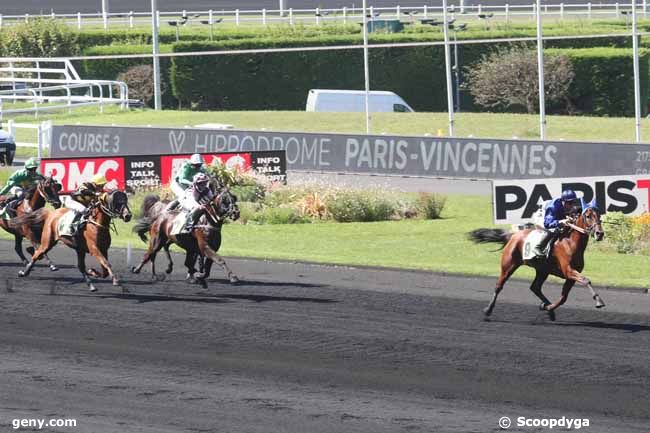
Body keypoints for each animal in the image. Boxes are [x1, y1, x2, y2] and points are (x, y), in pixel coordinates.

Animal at [468, 201, 604, 318]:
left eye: (599, 215)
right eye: (588, 216)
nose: (600, 233)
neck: (570, 242)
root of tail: (514, 235)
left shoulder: (571, 276)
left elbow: (563, 298)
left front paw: (547, 308)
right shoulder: (568, 271)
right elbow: (586, 280)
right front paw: (599, 301)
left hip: (542, 270)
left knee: (535, 287)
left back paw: (548, 308)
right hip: (508, 264)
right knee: (499, 285)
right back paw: (488, 310)